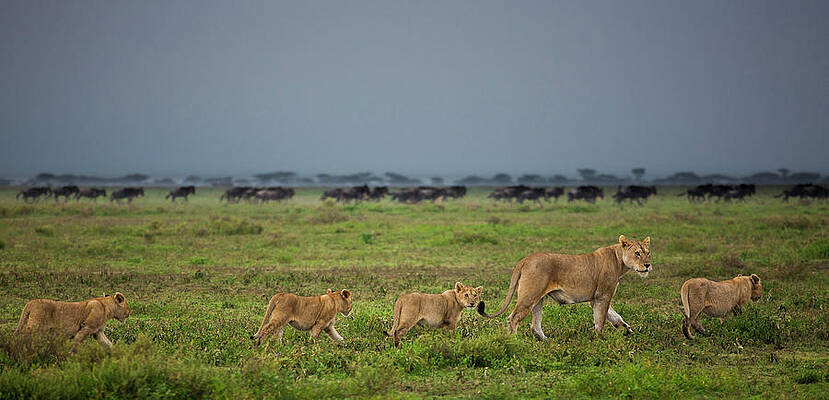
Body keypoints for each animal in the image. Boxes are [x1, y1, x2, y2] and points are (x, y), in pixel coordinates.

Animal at [478, 235, 651, 339]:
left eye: (648, 253)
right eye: (637, 253)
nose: (648, 265)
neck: (619, 260)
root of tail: (525, 259)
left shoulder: (595, 299)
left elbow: (615, 317)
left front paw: (627, 330)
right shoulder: (603, 295)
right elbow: (601, 320)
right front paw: (601, 339)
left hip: (538, 299)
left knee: (535, 326)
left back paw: (547, 341)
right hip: (529, 296)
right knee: (513, 318)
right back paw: (514, 340)